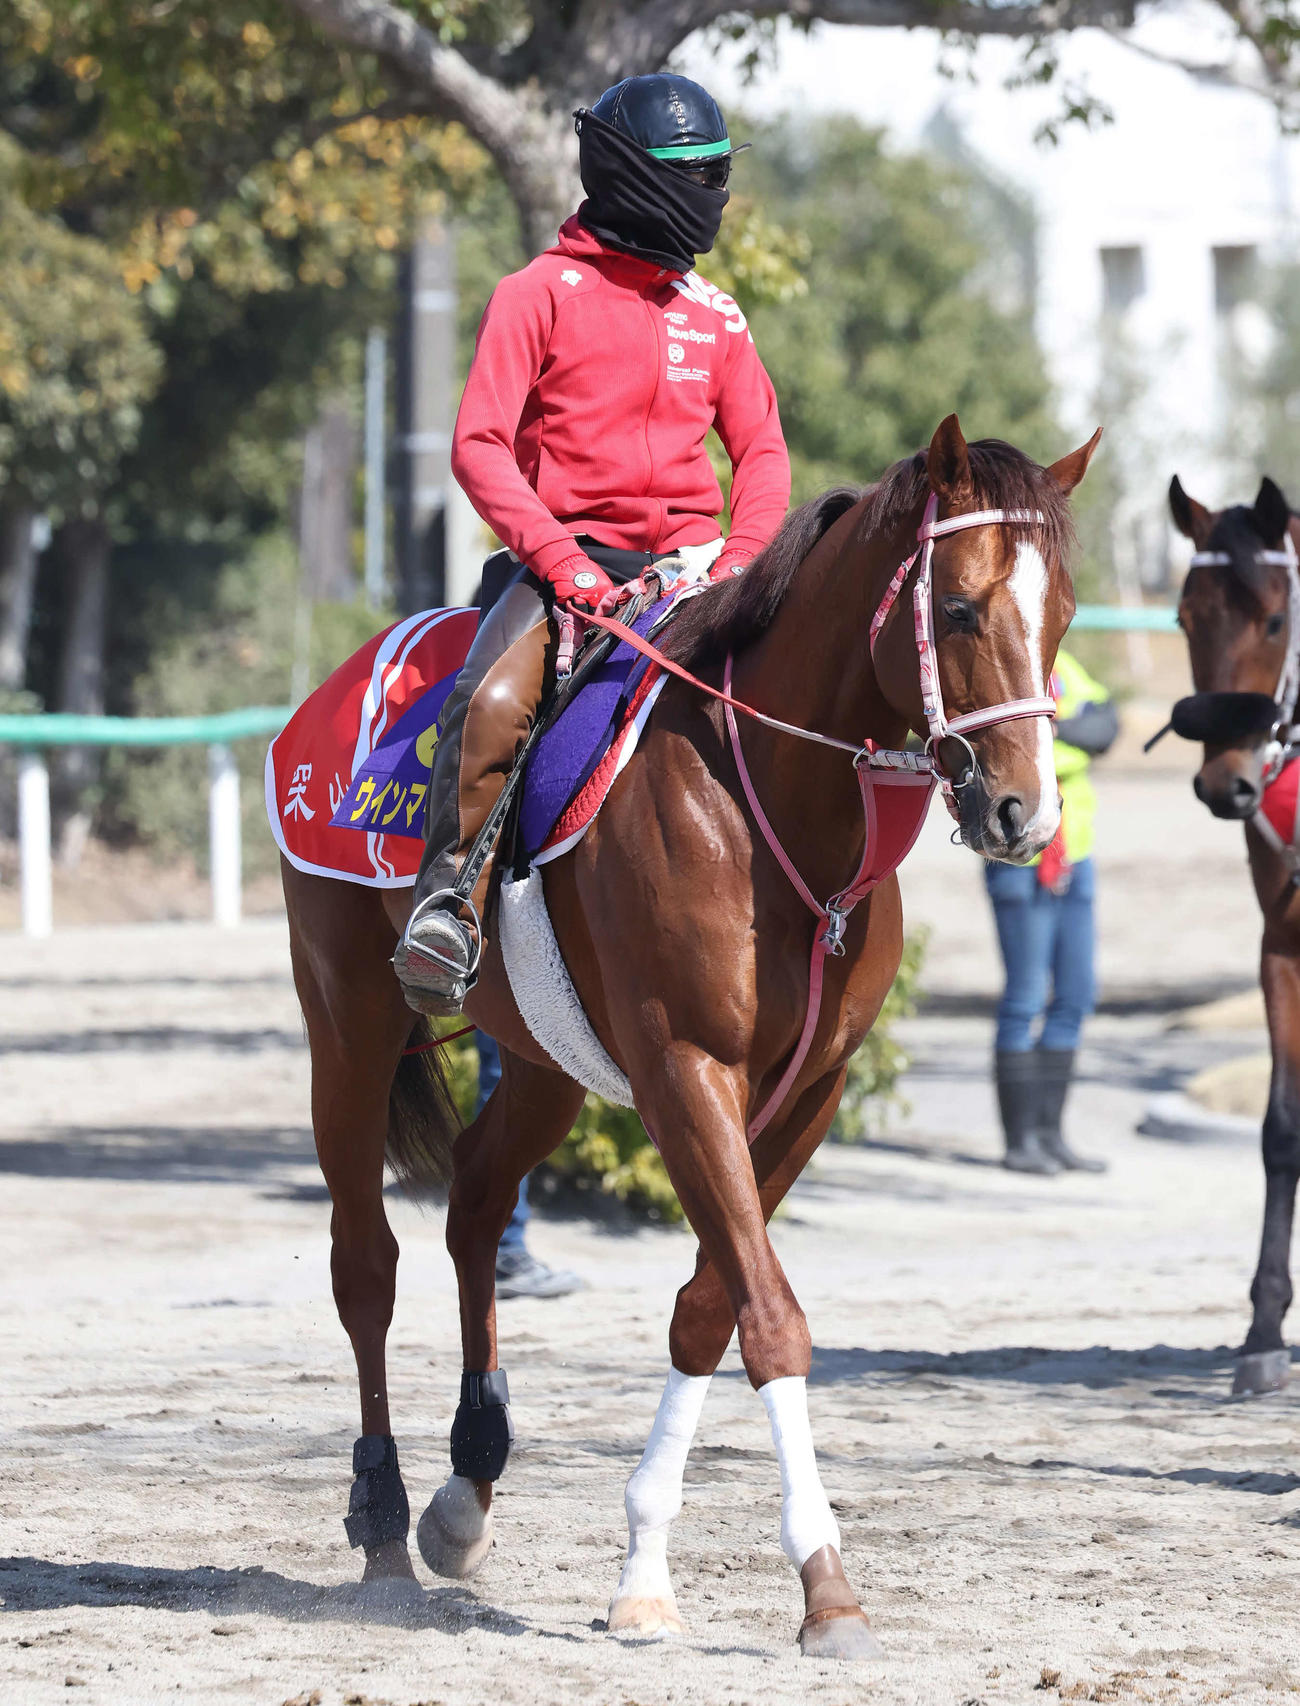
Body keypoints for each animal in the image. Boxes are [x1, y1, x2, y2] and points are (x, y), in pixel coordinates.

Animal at [280, 413, 1097, 1659]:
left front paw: (647, 1569)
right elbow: (768, 1315)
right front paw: (824, 1584)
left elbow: (713, 1303)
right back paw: (379, 1516)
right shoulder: (685, 1071)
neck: (774, 809)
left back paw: (466, 1490)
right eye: (958, 607)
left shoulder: (805, 1089)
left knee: (475, 1200)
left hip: (545, 1062)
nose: (1025, 813)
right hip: (349, 1022)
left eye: (1061, 613)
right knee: (365, 1262)